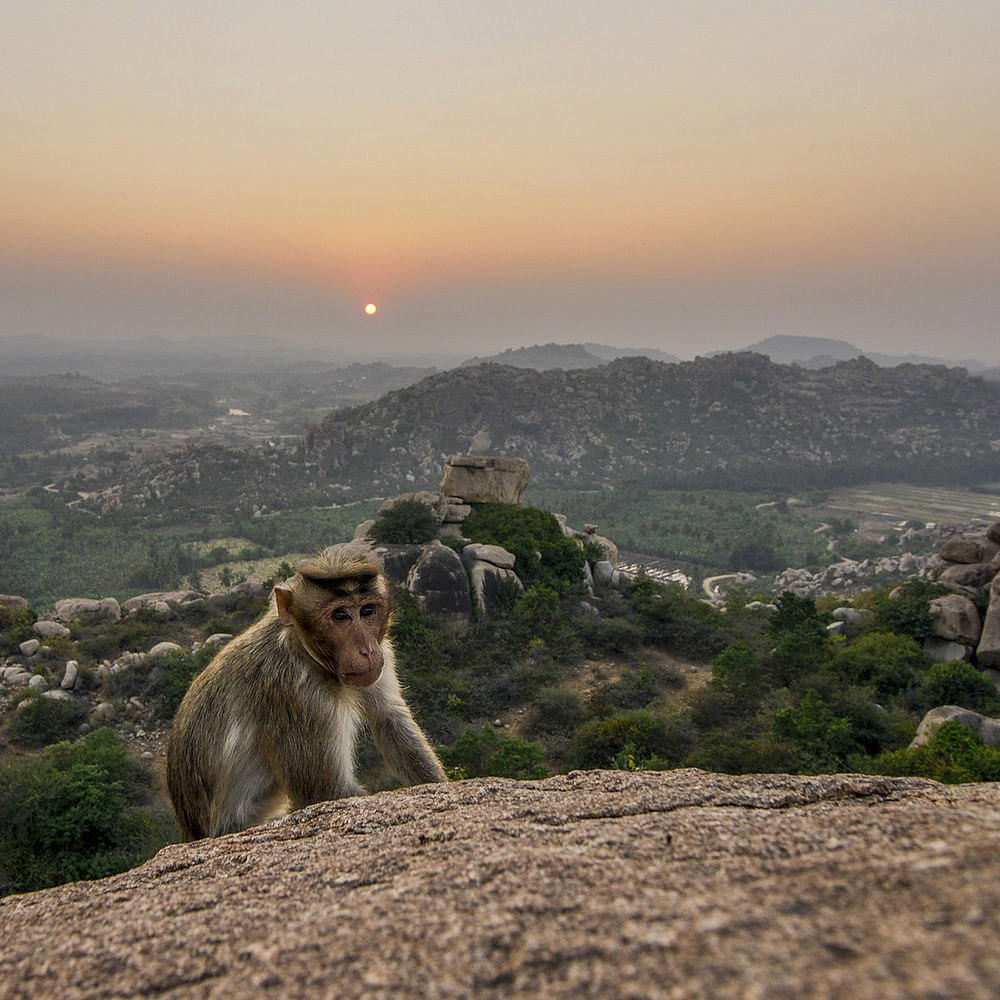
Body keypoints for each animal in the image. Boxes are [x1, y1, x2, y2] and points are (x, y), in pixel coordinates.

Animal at [168, 552, 446, 840]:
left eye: (367, 611)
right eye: (340, 615)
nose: (367, 650)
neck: (302, 648)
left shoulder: (382, 653)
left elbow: (390, 721)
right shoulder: (296, 694)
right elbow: (328, 790)